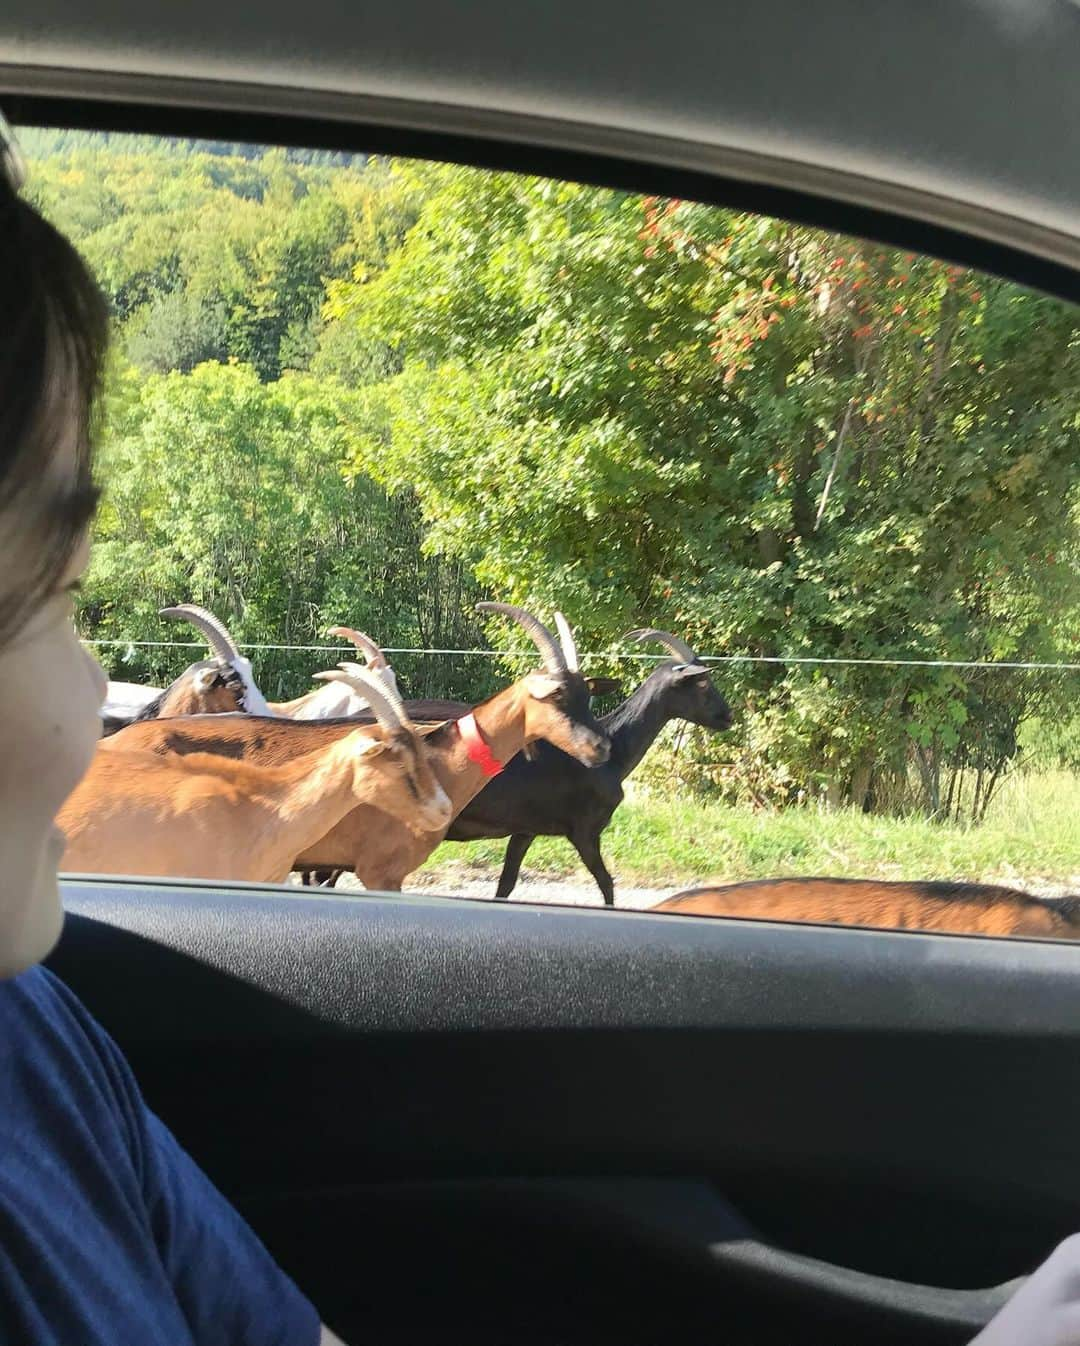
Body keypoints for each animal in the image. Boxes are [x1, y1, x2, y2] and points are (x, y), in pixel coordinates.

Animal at [439, 627, 732, 904]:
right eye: (702, 682)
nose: (728, 716)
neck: (615, 750)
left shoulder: (526, 829)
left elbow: (506, 884)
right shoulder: (584, 831)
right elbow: (607, 883)